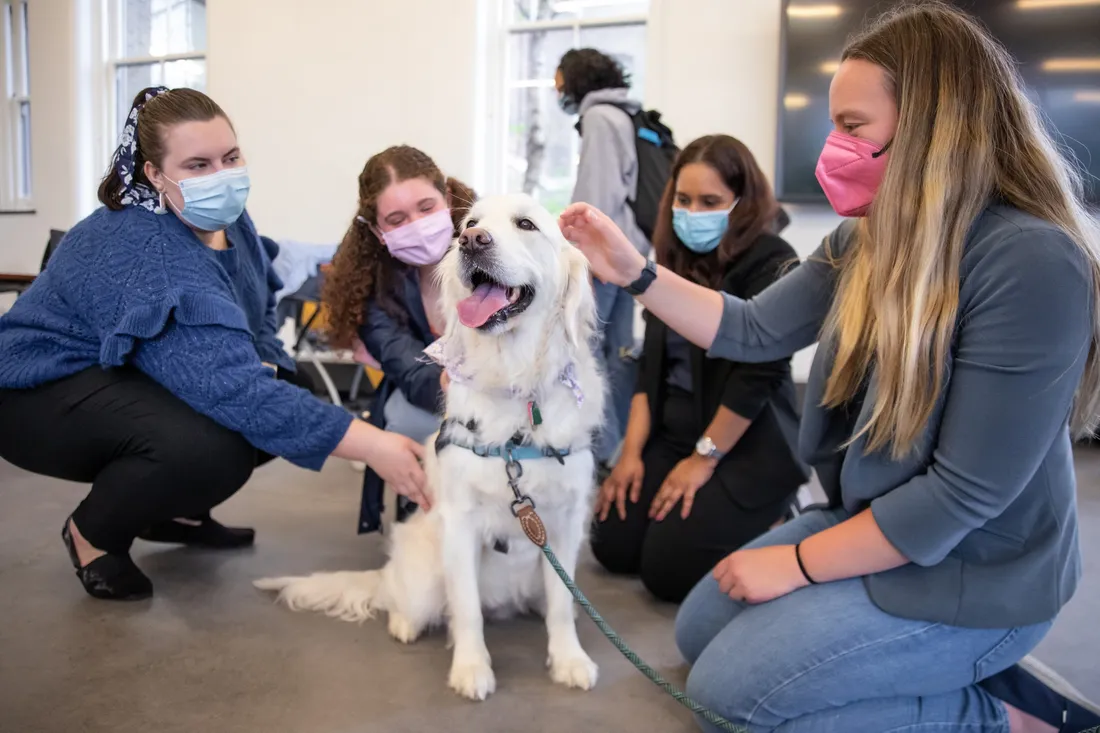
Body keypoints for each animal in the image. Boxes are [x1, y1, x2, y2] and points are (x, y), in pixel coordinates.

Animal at [254, 192, 607, 695]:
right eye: (471, 223)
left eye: (526, 224)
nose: (472, 241)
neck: (514, 384)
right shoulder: (459, 522)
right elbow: (467, 608)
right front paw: (472, 668)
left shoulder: (564, 522)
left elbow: (561, 605)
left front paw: (569, 659)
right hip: (421, 575)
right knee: (408, 603)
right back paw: (406, 623)